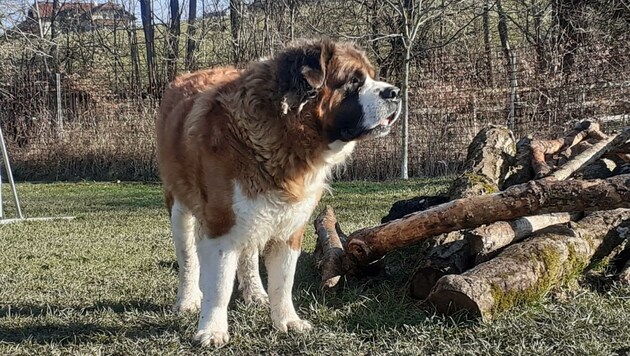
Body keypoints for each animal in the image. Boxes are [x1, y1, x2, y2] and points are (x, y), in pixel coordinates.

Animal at [155, 39, 400, 348]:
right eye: (354, 81)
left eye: (371, 76)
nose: (396, 92)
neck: (284, 133)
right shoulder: (222, 225)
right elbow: (219, 285)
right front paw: (212, 330)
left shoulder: (290, 226)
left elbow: (284, 281)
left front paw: (287, 321)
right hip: (180, 208)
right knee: (187, 256)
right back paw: (187, 300)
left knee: (248, 253)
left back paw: (255, 293)